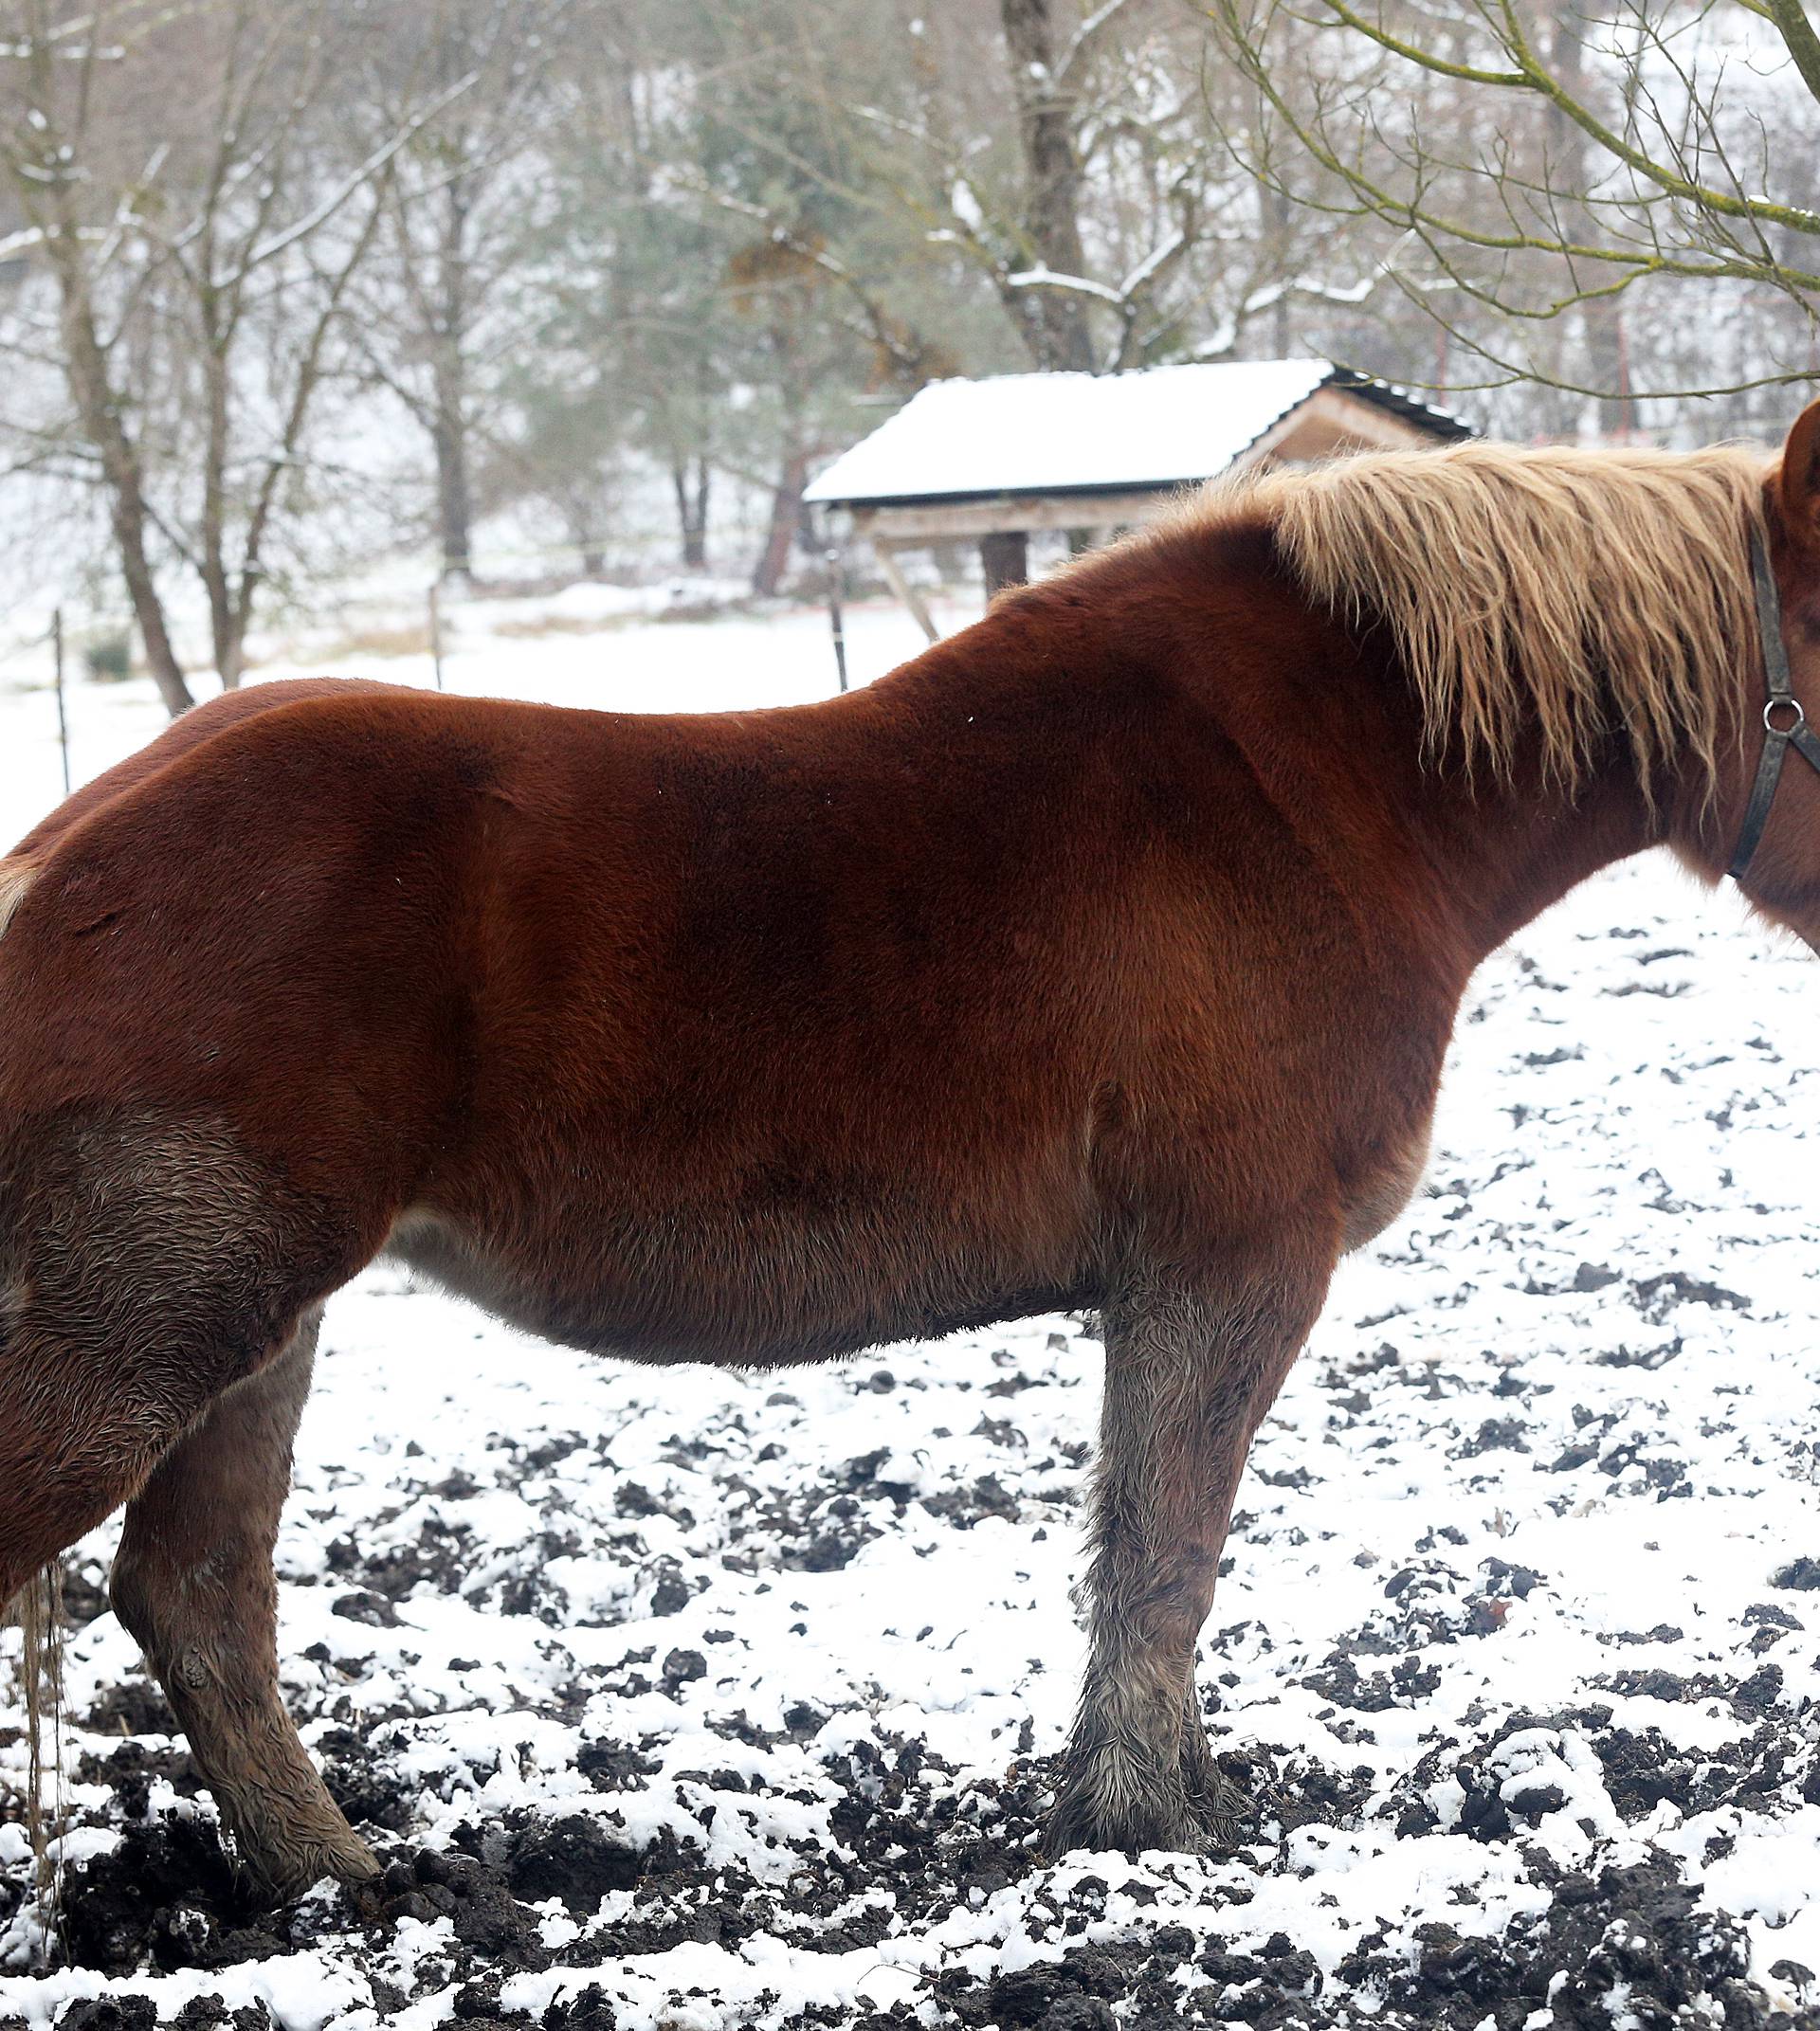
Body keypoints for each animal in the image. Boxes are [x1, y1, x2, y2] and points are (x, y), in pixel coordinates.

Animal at [3, 400, 1820, 1900]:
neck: (1297, 789)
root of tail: (58, 864)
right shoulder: (1232, 1263)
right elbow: (1169, 1549)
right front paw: (1143, 1824)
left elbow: (1136, 1544)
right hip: (150, 1329)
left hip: (260, 1332)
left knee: (199, 1596)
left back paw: (342, 1882)